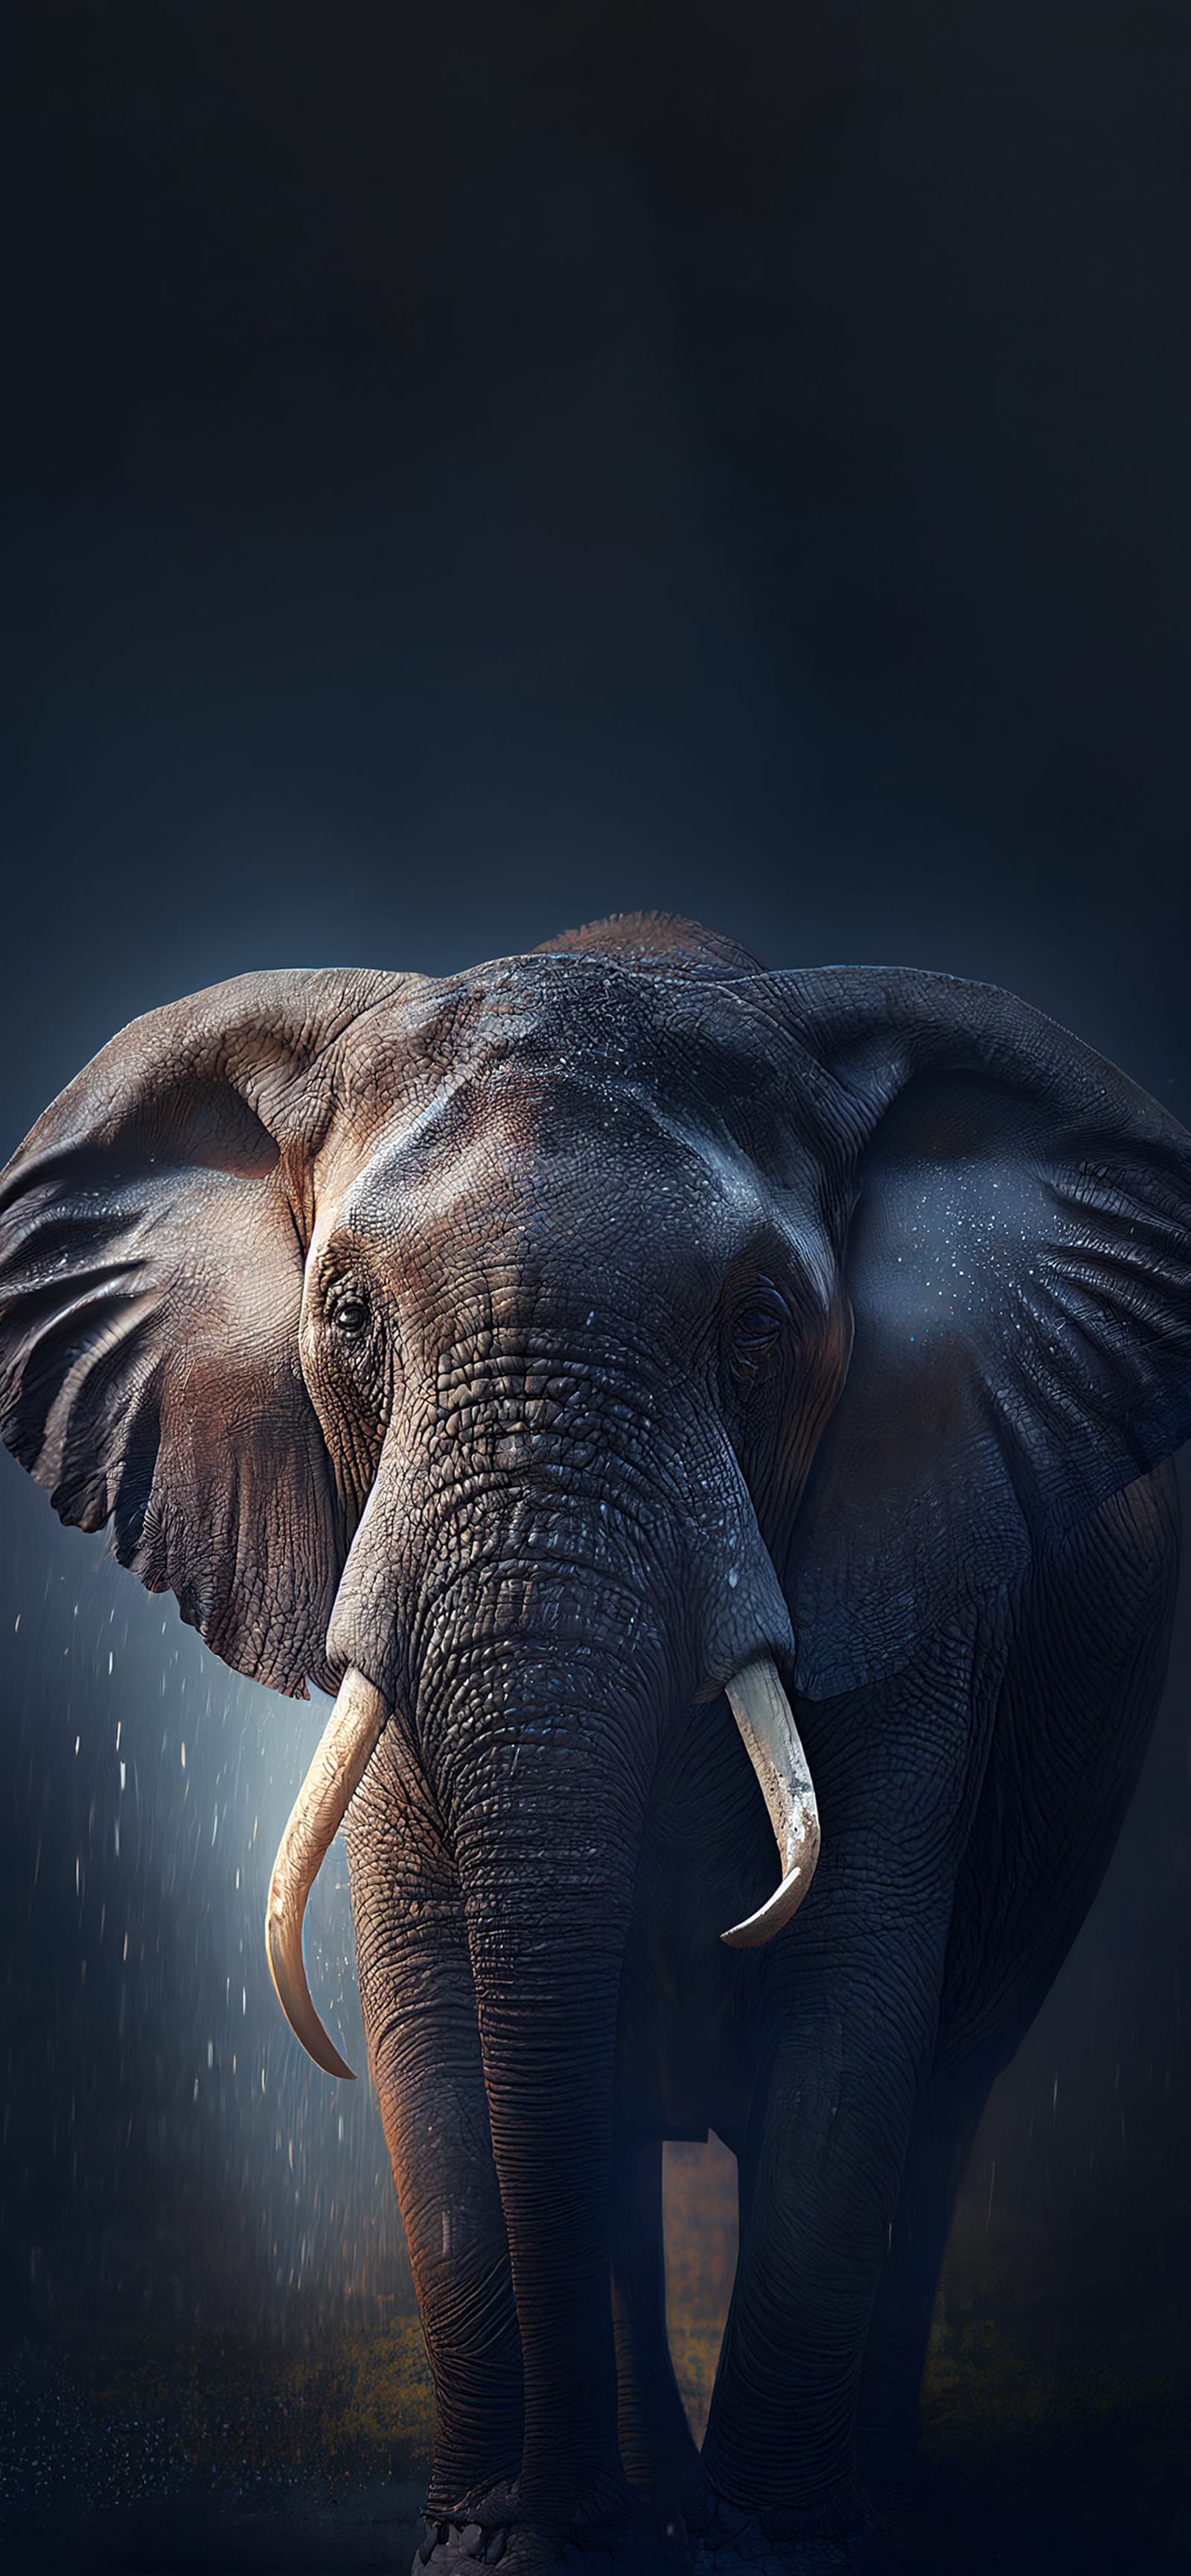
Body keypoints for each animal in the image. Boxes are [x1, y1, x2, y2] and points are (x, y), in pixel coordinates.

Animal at [1, 909, 1189, 2574]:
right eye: (348, 1316)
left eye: (757, 1325)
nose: (532, 2516)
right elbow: (435, 2033)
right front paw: (496, 2548)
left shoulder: (920, 1579)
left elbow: (847, 2036)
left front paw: (764, 2550)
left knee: (943, 2100)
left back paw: (867, 2504)